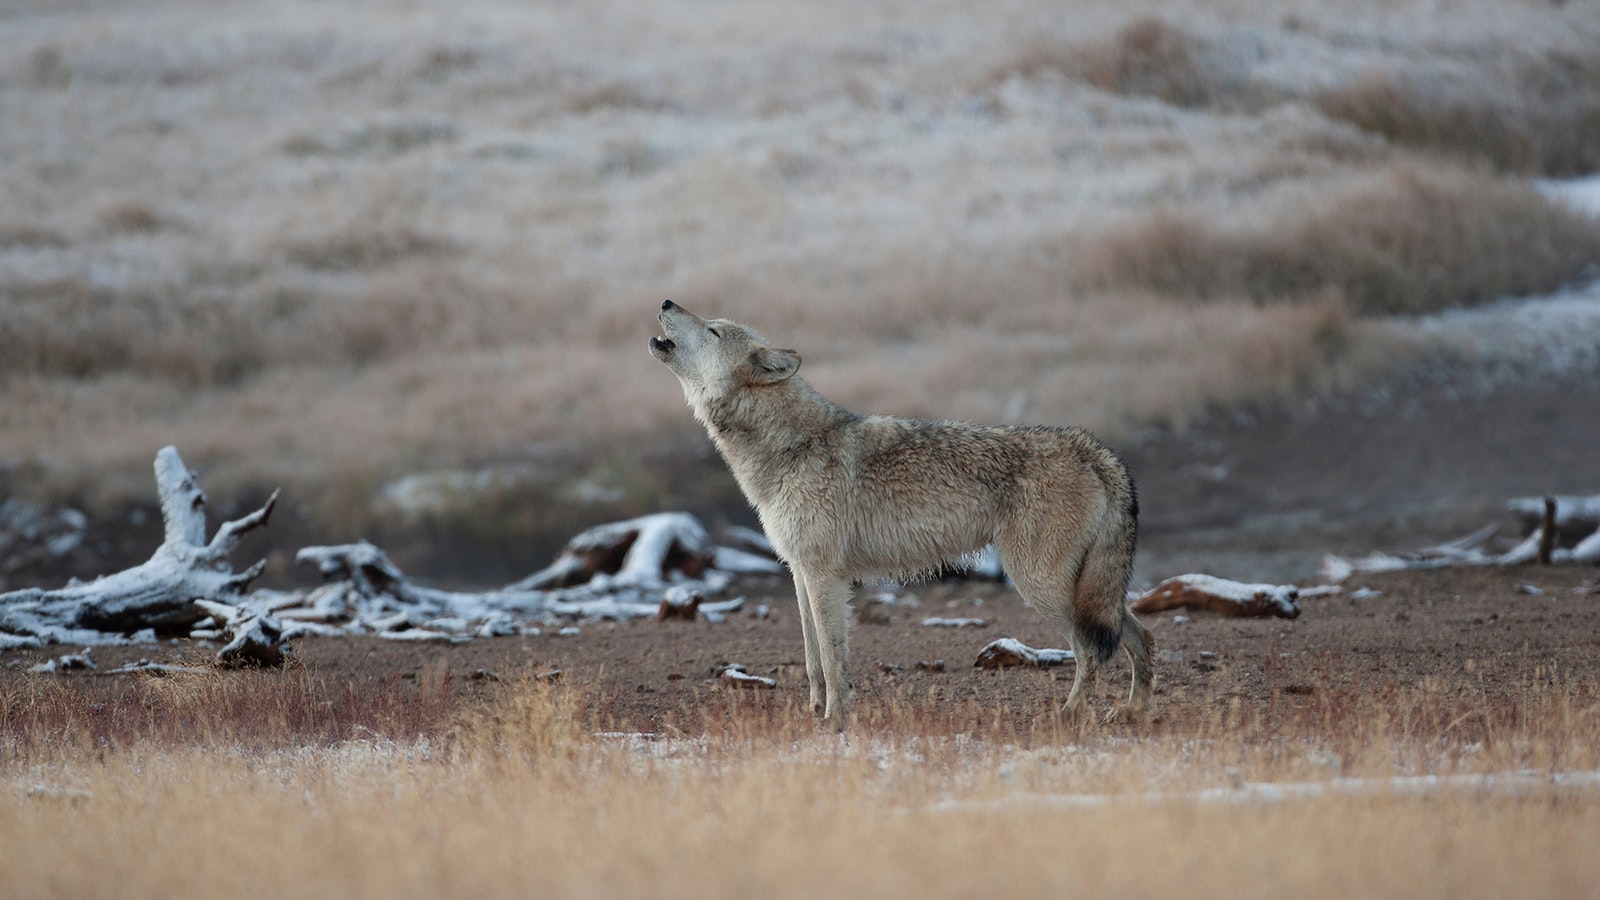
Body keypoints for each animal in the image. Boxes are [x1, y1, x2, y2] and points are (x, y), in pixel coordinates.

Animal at [649, 300, 1154, 723]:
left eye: (713, 330)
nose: (667, 302)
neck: (790, 447)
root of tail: (1090, 448)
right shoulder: (800, 572)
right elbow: (813, 659)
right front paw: (814, 714)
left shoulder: (824, 576)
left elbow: (832, 659)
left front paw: (835, 720)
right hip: (1083, 593)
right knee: (1139, 636)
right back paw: (1133, 711)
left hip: (1041, 587)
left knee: (1092, 651)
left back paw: (1069, 714)